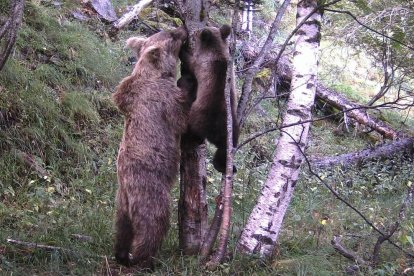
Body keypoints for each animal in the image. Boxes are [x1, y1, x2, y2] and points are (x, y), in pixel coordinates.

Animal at [110, 26, 188, 270]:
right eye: (172, 35)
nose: (183, 29)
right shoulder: (164, 99)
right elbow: (183, 117)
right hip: (150, 190)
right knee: (153, 223)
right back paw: (145, 259)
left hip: (121, 204)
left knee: (122, 229)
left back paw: (121, 255)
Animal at [179, 25, 239, 172]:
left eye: (199, 32)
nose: (196, 31)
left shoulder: (200, 62)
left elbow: (190, 61)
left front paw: (182, 48)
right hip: (233, 128)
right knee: (226, 148)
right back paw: (225, 165)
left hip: (198, 116)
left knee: (191, 131)